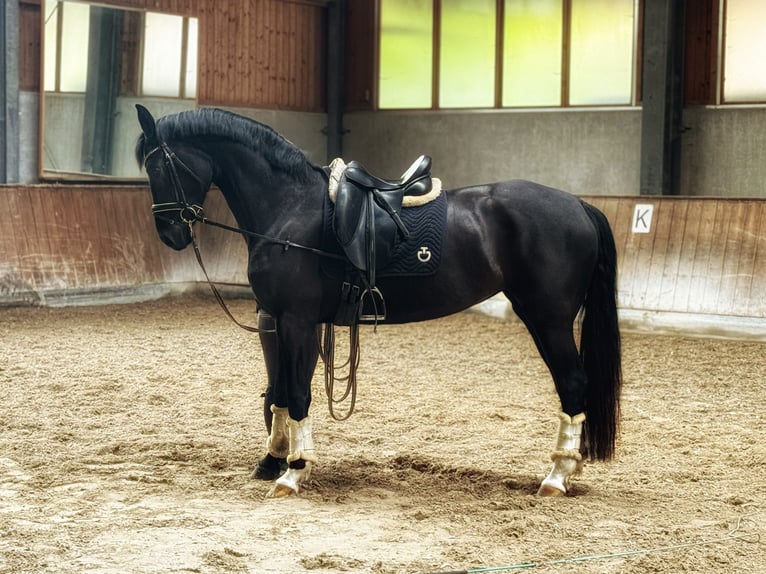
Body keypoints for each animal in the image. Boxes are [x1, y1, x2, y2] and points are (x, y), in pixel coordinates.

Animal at [135, 107, 620, 500]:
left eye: (160, 163)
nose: (170, 233)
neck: (290, 207)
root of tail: (578, 205)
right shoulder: (277, 318)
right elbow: (279, 391)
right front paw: (275, 460)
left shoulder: (296, 320)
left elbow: (297, 393)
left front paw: (294, 472)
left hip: (548, 318)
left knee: (572, 384)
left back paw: (556, 476)